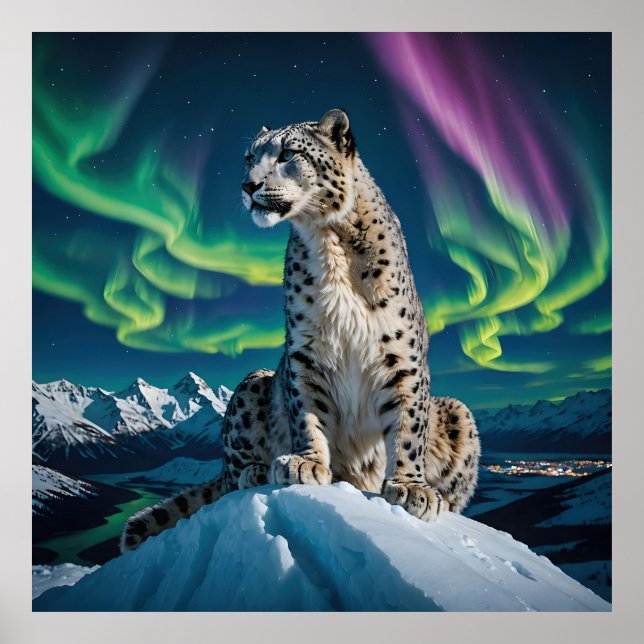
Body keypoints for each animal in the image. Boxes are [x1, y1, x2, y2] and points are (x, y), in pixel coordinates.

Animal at [120, 109, 480, 553]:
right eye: (248, 157)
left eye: (289, 153)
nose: (247, 185)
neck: (329, 242)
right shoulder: (305, 352)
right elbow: (306, 410)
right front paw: (306, 463)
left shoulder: (403, 356)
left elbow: (409, 427)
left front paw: (411, 487)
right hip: (252, 384)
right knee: (231, 473)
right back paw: (258, 470)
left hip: (458, 411)